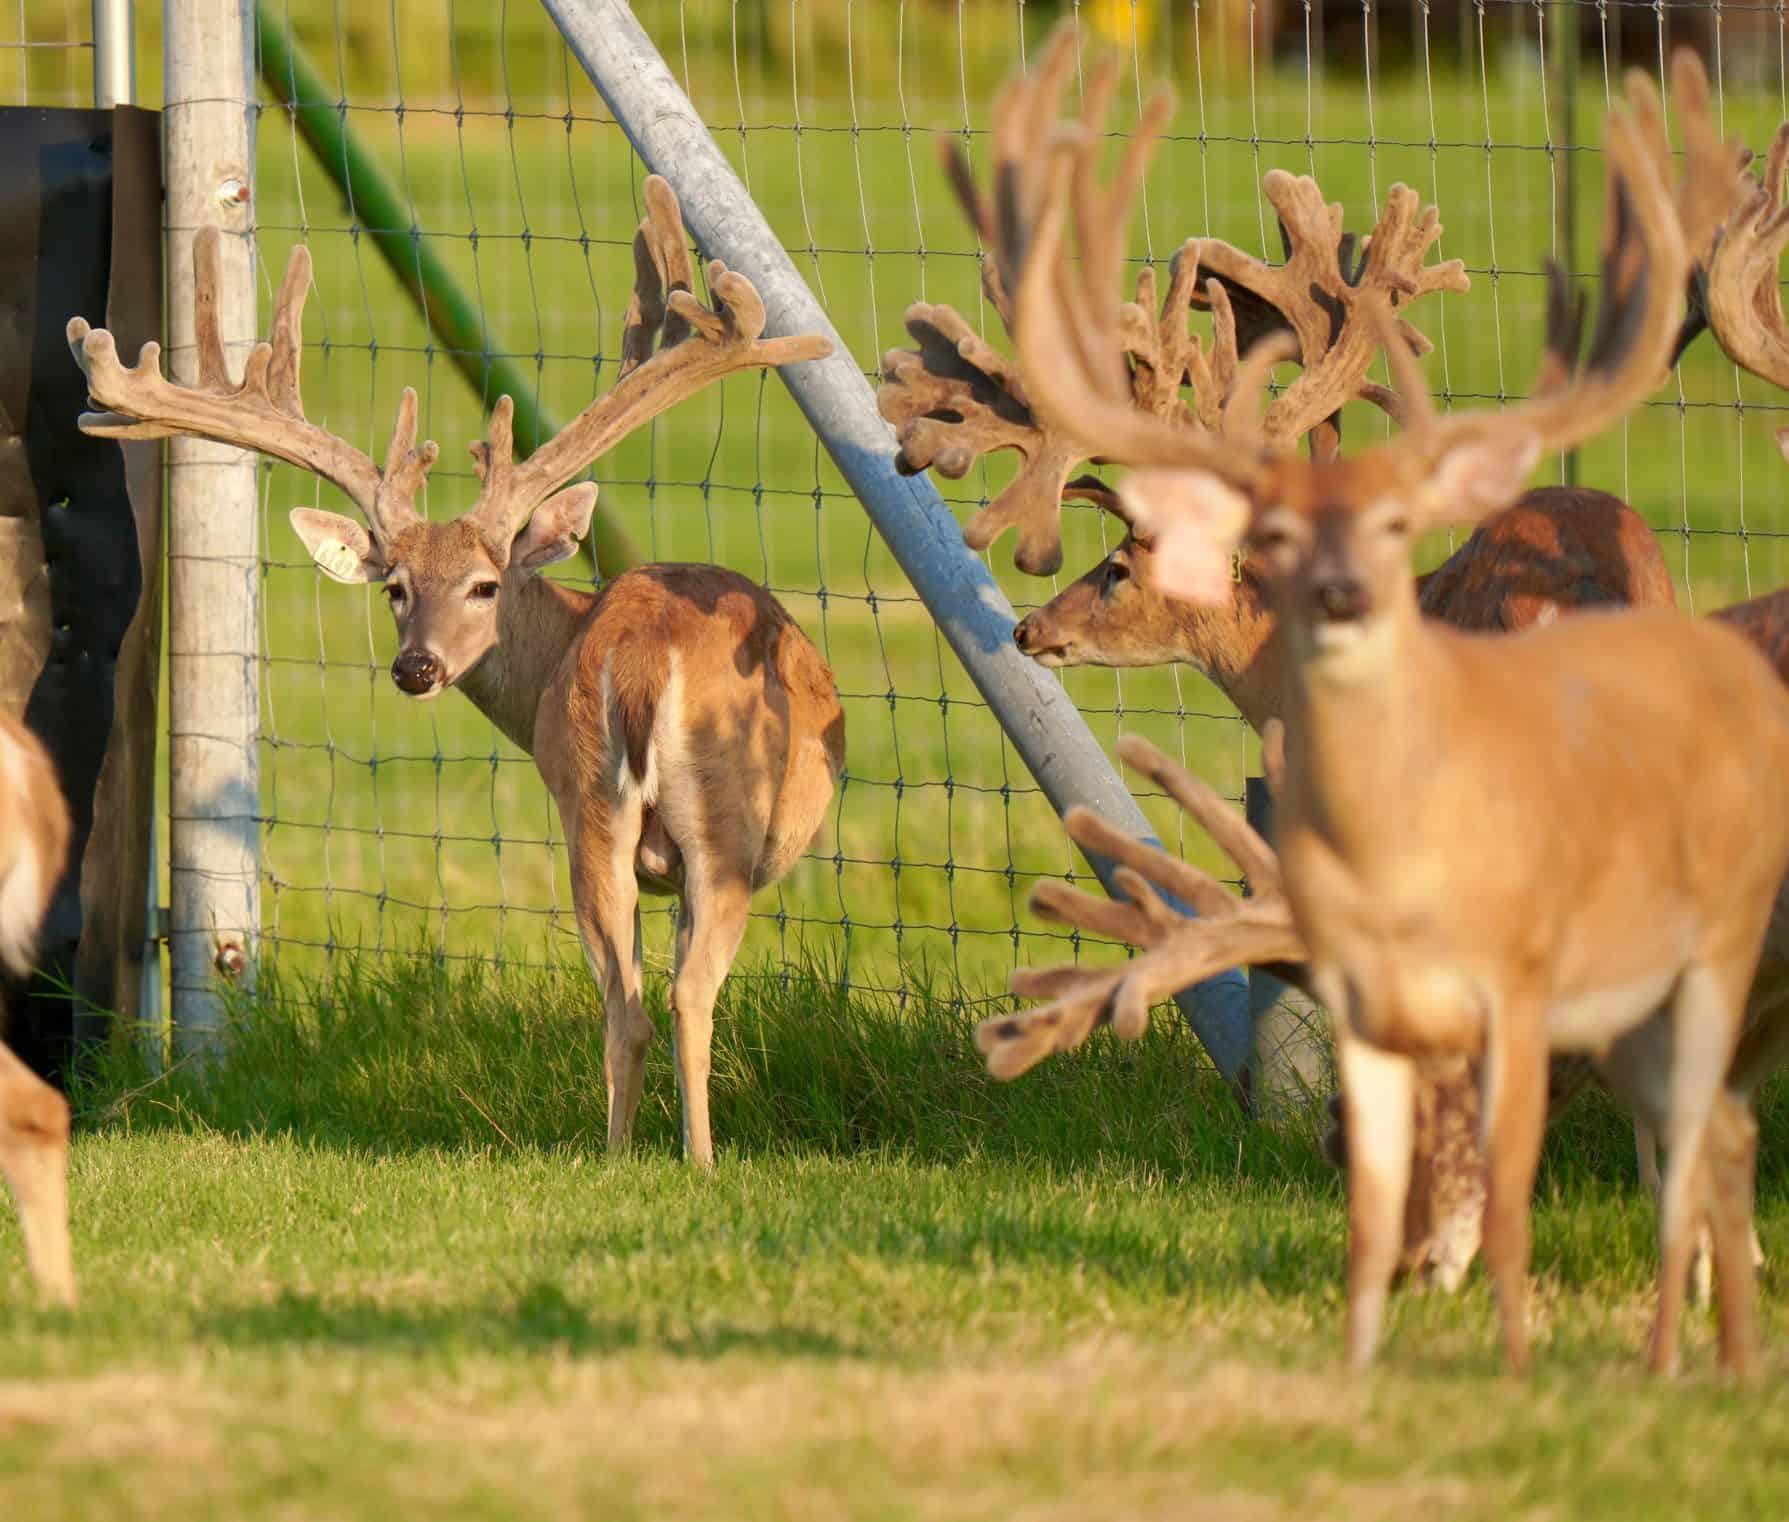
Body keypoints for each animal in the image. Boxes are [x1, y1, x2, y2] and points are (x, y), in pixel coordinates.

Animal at [65, 177, 845, 1172]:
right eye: (394, 586)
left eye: (482, 583)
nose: (415, 664)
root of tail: (638, 658)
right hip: (717, 818)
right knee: (680, 995)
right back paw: (693, 1162)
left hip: (592, 806)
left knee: (625, 1003)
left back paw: (619, 1155)